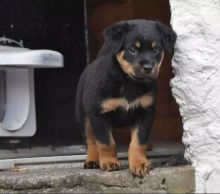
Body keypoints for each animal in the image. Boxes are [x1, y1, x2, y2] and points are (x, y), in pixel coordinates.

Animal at [75, 20, 176, 177]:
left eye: (156, 50)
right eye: (132, 50)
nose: (148, 67)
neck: (129, 82)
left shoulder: (146, 112)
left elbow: (139, 141)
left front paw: (139, 163)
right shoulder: (98, 114)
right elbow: (105, 142)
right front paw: (109, 162)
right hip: (83, 115)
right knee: (90, 139)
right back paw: (92, 160)